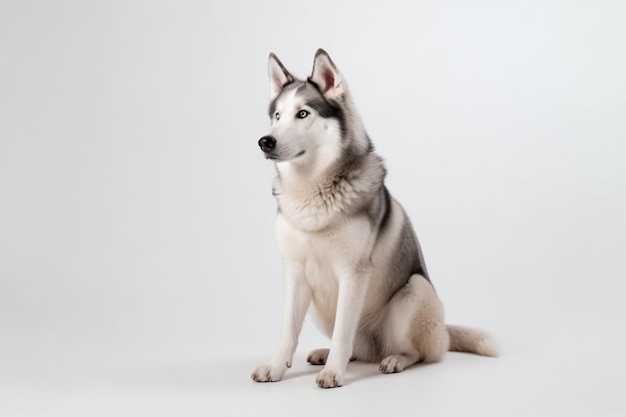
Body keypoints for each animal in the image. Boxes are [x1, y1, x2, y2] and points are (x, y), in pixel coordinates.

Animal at [251, 50, 494, 388]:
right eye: (277, 116)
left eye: (302, 114)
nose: (265, 141)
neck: (312, 192)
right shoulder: (295, 273)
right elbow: (288, 331)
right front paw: (276, 367)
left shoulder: (353, 272)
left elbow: (343, 332)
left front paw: (334, 373)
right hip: (318, 307)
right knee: (358, 348)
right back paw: (327, 353)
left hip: (415, 290)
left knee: (415, 352)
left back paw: (394, 359)